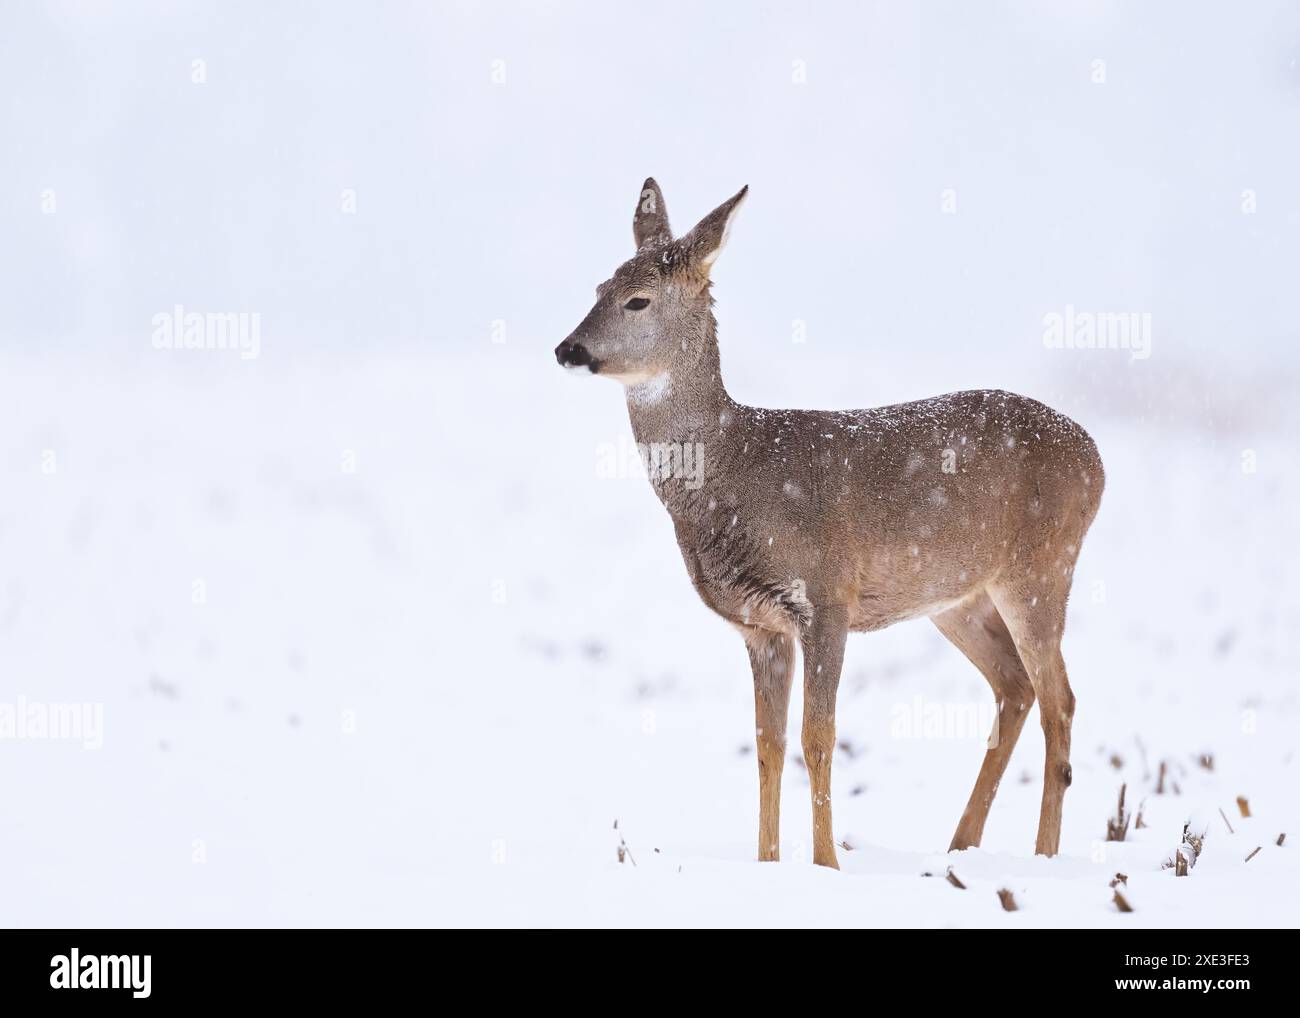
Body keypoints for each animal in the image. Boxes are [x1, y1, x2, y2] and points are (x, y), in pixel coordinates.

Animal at [559, 180, 1107, 868]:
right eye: (598, 287)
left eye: (638, 300)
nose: (568, 348)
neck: (735, 473)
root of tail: (1096, 458)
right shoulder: (759, 626)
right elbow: (767, 746)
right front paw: (767, 862)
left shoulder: (825, 595)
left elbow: (817, 737)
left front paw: (826, 864)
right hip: (957, 596)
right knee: (1015, 687)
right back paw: (960, 845)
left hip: (1041, 567)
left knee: (1061, 700)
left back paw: (1043, 855)